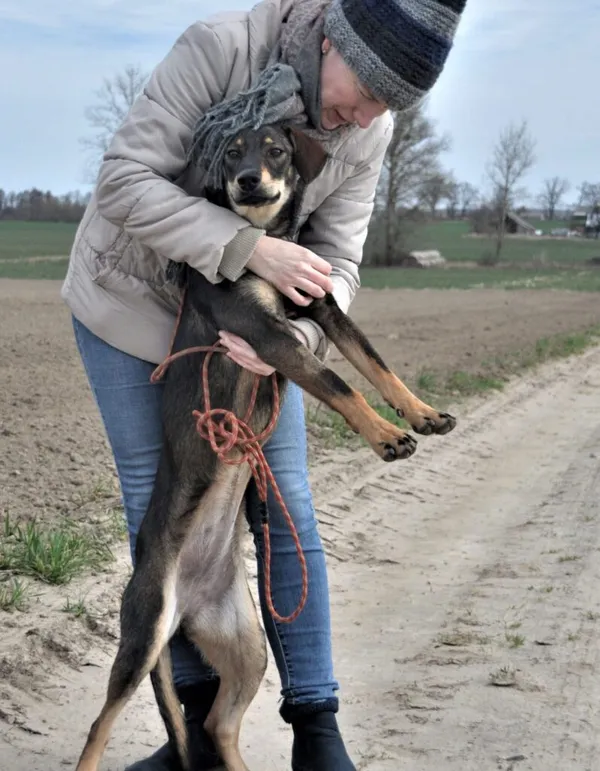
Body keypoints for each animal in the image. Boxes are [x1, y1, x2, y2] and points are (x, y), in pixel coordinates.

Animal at [76, 123, 454, 768]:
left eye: (275, 149)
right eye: (232, 152)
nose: (249, 180)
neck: (267, 243)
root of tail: (186, 602)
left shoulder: (320, 309)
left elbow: (376, 367)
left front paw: (423, 414)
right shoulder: (266, 335)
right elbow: (342, 386)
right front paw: (386, 437)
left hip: (248, 646)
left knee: (217, 724)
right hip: (143, 635)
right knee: (99, 727)